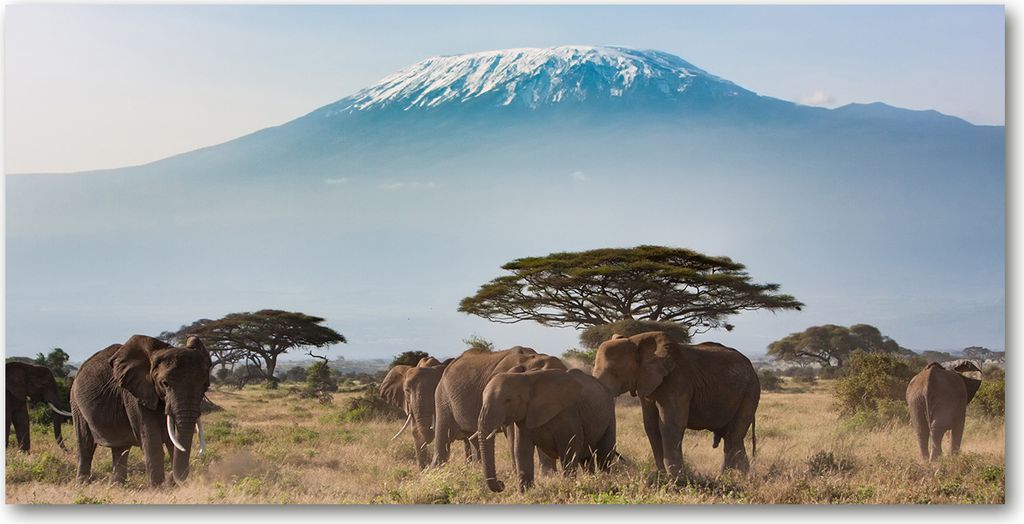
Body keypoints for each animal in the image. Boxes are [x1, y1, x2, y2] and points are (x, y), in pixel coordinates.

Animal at [71, 334, 212, 487]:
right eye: (165, 383)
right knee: (85, 442)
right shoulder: (135, 394)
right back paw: (83, 483)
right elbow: (151, 439)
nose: (171, 479)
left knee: (120, 448)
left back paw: (117, 485)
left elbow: (172, 440)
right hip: (75, 402)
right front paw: (158, 488)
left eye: (205, 385)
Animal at [478, 368, 616, 492]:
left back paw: (605, 480)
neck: (526, 378)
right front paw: (526, 493)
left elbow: (569, 449)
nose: (502, 483)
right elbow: (522, 450)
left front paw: (569, 486)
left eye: (508, 400)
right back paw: (592, 480)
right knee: (586, 460)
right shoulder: (523, 417)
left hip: (609, 413)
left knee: (604, 455)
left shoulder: (568, 413)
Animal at [592, 332, 759, 478]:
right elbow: (651, 426)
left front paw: (677, 479)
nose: (622, 461)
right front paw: (663, 476)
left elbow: (670, 425)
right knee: (730, 437)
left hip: (750, 392)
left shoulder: (677, 381)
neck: (635, 340)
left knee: (733, 436)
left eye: (614, 371)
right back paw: (735, 475)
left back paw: (733, 477)